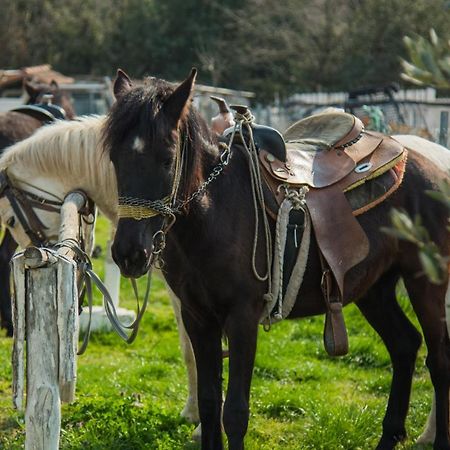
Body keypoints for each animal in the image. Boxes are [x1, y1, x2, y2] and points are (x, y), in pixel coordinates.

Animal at [103, 67, 450, 450]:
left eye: (166, 158)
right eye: (114, 158)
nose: (129, 253)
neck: (216, 212)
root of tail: (432, 168)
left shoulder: (242, 318)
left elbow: (234, 412)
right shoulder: (198, 318)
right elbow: (209, 404)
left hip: (426, 283)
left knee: (438, 359)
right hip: (373, 289)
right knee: (405, 346)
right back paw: (389, 437)